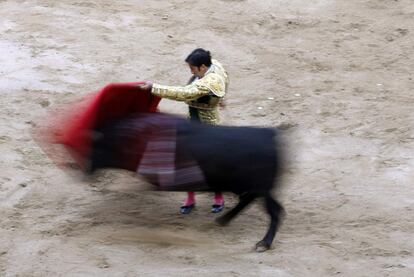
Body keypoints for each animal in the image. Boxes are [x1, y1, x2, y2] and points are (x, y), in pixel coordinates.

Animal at [89, 111, 286, 250]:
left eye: (98, 148)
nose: (85, 171)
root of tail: (270, 136)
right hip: (254, 187)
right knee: (257, 202)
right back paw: (224, 220)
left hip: (260, 186)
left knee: (272, 209)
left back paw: (263, 243)